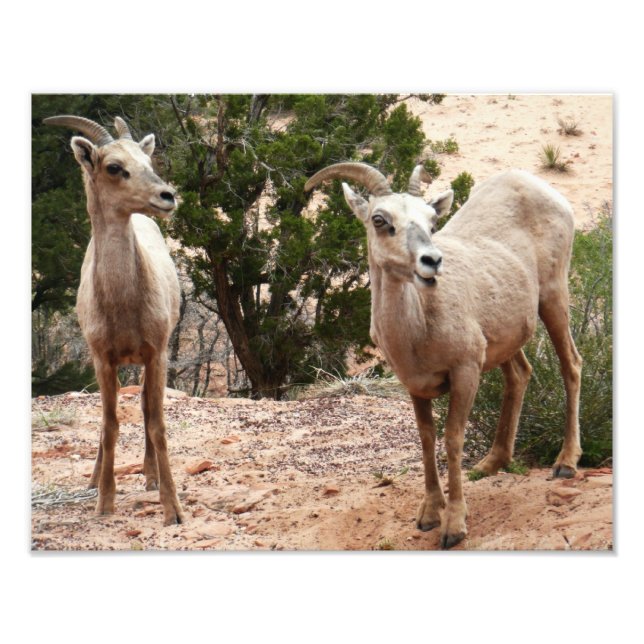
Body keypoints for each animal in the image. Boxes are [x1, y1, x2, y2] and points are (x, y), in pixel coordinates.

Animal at [44, 115, 184, 525]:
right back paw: (93, 479)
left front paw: (172, 508)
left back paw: (151, 477)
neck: (123, 305)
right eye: (114, 167)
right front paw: (104, 501)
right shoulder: (101, 358)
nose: (167, 196)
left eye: (147, 159)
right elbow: (109, 425)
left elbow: (156, 423)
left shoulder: (156, 353)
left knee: (147, 407)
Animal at [305, 162, 582, 549]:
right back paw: (490, 464)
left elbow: (452, 439)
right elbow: (426, 438)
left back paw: (565, 463)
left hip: (553, 298)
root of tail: (535, 184)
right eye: (379, 219)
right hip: (507, 337)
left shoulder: (465, 371)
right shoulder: (415, 386)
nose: (431, 261)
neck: (418, 329)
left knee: (571, 365)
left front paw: (453, 526)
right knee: (520, 374)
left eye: (432, 221)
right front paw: (428, 515)